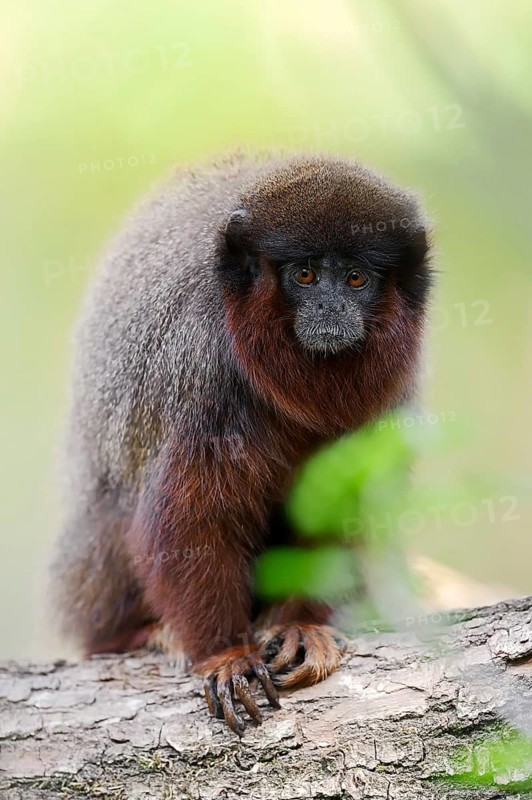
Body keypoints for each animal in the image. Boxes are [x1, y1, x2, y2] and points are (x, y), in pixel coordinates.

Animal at [50, 152, 432, 735]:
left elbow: (342, 507)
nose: (330, 308)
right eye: (305, 275)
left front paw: (301, 626)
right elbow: (191, 520)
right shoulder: (202, 365)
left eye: (355, 278)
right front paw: (226, 654)